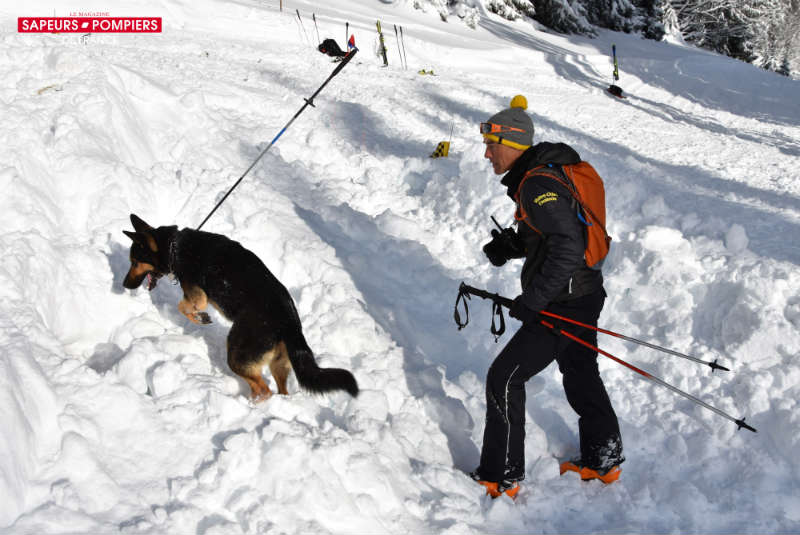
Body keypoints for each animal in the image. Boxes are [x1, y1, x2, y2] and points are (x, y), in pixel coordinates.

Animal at [122, 214, 360, 402]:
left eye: (134, 262)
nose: (124, 285)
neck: (174, 246)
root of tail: (290, 322)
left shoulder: (198, 295)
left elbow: (184, 307)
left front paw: (201, 318)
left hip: (237, 356)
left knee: (264, 390)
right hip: (278, 364)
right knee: (279, 391)